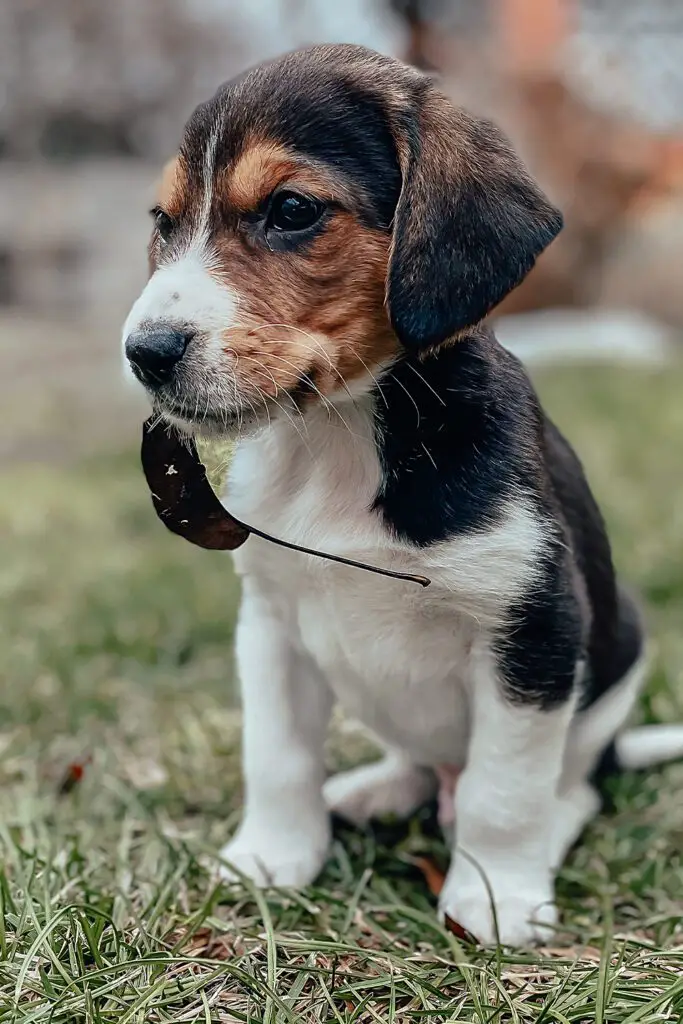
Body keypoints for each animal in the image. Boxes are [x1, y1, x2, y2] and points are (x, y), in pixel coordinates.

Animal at [120, 46, 679, 942]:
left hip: (612, 654)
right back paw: (370, 790)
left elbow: (502, 791)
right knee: (419, 764)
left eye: (290, 209)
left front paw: (495, 897)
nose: (146, 352)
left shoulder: (533, 632)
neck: (338, 435)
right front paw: (271, 857)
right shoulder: (269, 625)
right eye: (164, 222)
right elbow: (275, 757)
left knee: (569, 785)